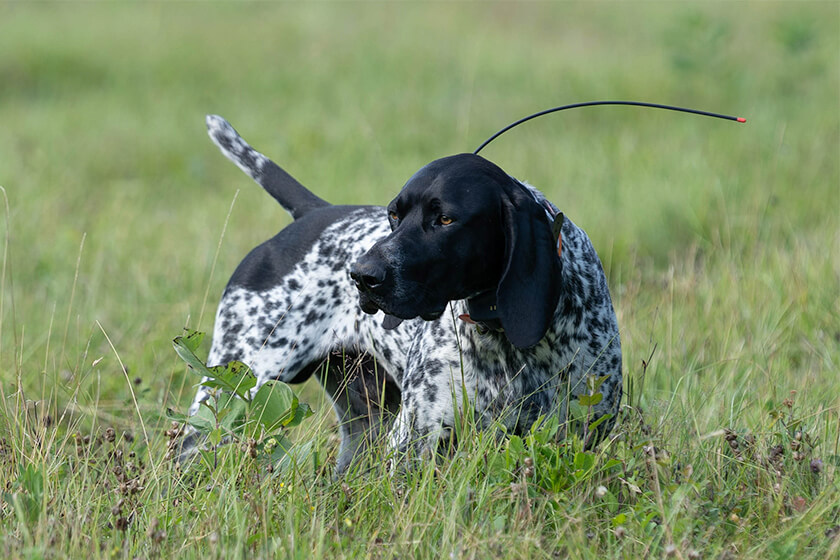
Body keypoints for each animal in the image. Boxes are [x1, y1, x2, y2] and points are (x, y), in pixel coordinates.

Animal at [189, 116, 624, 474]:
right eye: (394, 215)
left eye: (445, 219)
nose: (361, 276)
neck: (501, 330)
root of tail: (312, 213)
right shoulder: (416, 440)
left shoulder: (582, 433)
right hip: (227, 394)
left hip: (363, 428)